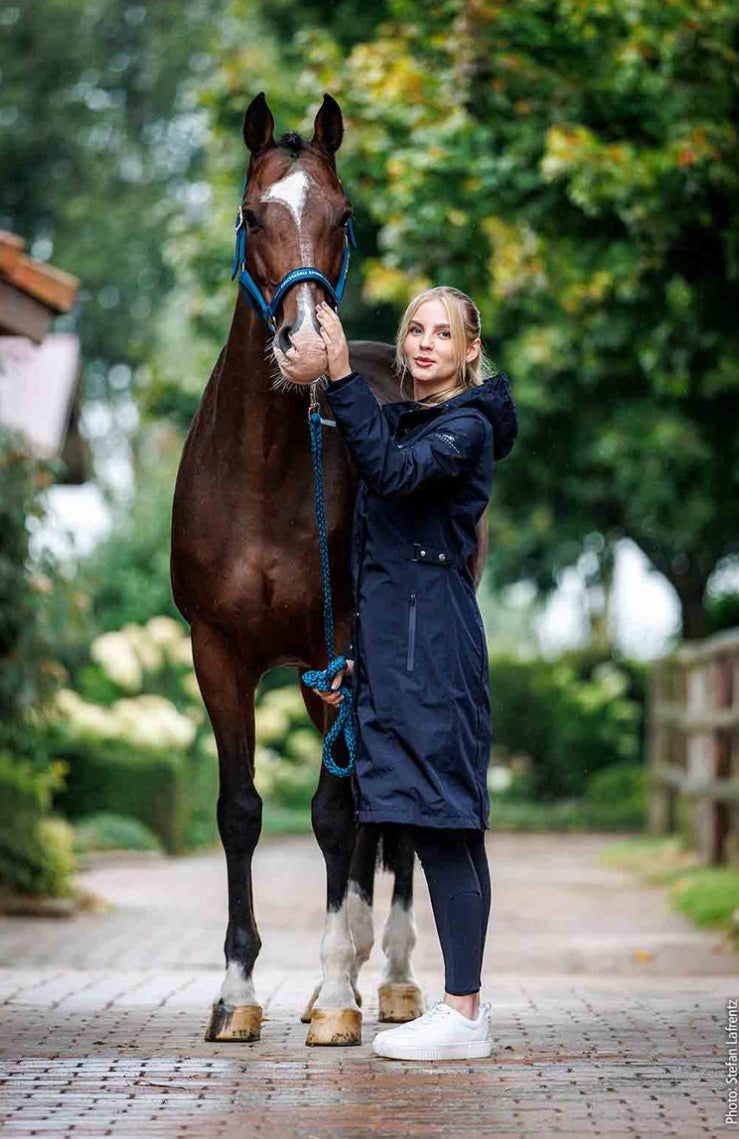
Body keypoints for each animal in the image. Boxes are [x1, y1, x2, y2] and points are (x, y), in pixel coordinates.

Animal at [170, 91, 489, 1045]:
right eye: (251, 215)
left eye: (342, 218)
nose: (307, 343)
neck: (266, 472)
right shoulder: (217, 652)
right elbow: (240, 811)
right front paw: (236, 994)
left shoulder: (344, 644)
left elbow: (337, 813)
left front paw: (343, 996)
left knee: (385, 824)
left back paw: (386, 979)